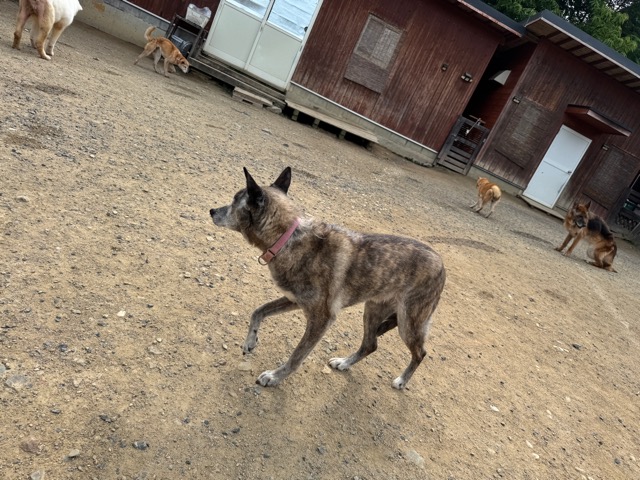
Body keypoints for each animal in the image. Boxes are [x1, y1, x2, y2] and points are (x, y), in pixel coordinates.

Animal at [209, 167, 446, 389]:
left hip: (408, 323)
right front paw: (250, 341)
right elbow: (258, 311)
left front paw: (275, 377)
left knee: (420, 353)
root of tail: (441, 264)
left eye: (234, 201)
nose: (211, 210)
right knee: (370, 344)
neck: (287, 238)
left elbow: (297, 355)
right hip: (373, 310)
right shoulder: (294, 300)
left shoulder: (321, 318)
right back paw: (344, 363)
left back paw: (402, 381)